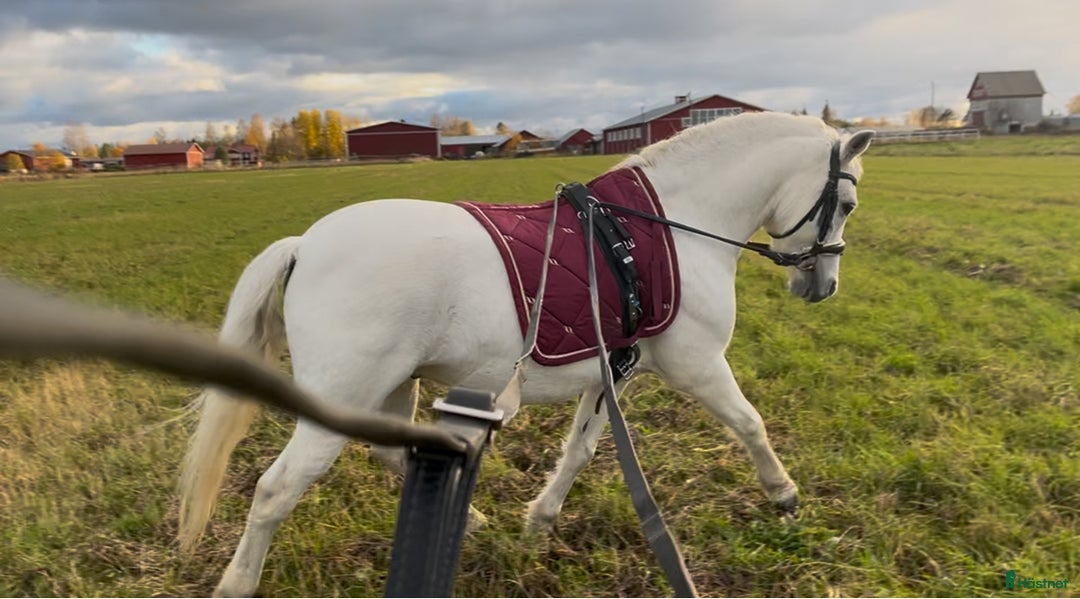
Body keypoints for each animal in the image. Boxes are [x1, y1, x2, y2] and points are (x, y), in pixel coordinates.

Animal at [178, 111, 874, 596]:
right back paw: (237, 584)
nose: (823, 286)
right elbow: (750, 423)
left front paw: (538, 521)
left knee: (391, 449)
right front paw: (782, 494)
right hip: (340, 398)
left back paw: (475, 522)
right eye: (846, 203)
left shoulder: (612, 373)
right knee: (276, 490)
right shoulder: (697, 366)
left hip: (391, 387)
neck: (673, 228)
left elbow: (581, 451)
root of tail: (305, 245)